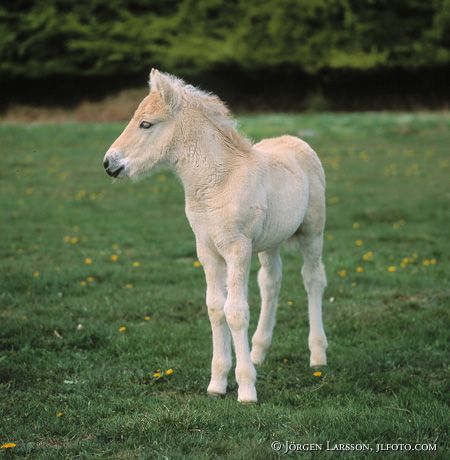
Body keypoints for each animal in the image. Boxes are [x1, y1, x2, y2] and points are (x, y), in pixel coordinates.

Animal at [104, 69, 328, 402]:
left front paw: (246, 388)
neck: (218, 181)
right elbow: (214, 308)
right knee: (270, 281)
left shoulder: (237, 248)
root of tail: (297, 141)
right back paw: (259, 352)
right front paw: (218, 383)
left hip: (313, 231)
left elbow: (235, 311)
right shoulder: (207, 250)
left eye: (146, 124)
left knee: (313, 279)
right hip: (270, 242)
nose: (109, 163)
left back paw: (317, 355)